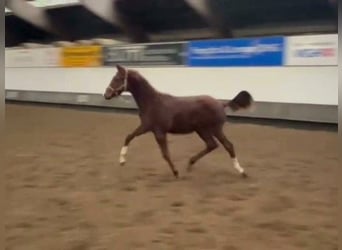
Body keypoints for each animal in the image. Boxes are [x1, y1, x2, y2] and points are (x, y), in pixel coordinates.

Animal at [103, 64, 252, 178]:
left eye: (117, 78)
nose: (106, 95)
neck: (152, 102)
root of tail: (221, 104)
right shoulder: (146, 127)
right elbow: (129, 136)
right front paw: (122, 161)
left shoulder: (159, 132)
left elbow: (165, 154)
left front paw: (175, 172)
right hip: (202, 130)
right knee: (212, 145)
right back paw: (190, 163)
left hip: (215, 129)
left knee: (228, 145)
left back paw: (241, 171)